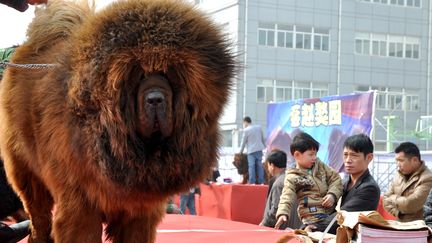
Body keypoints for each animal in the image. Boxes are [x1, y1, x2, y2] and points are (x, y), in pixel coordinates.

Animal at [0, 0, 235, 242]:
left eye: (169, 76)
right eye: (138, 76)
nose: (155, 99)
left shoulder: (139, 211)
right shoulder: (81, 205)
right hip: (26, 173)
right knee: (39, 216)